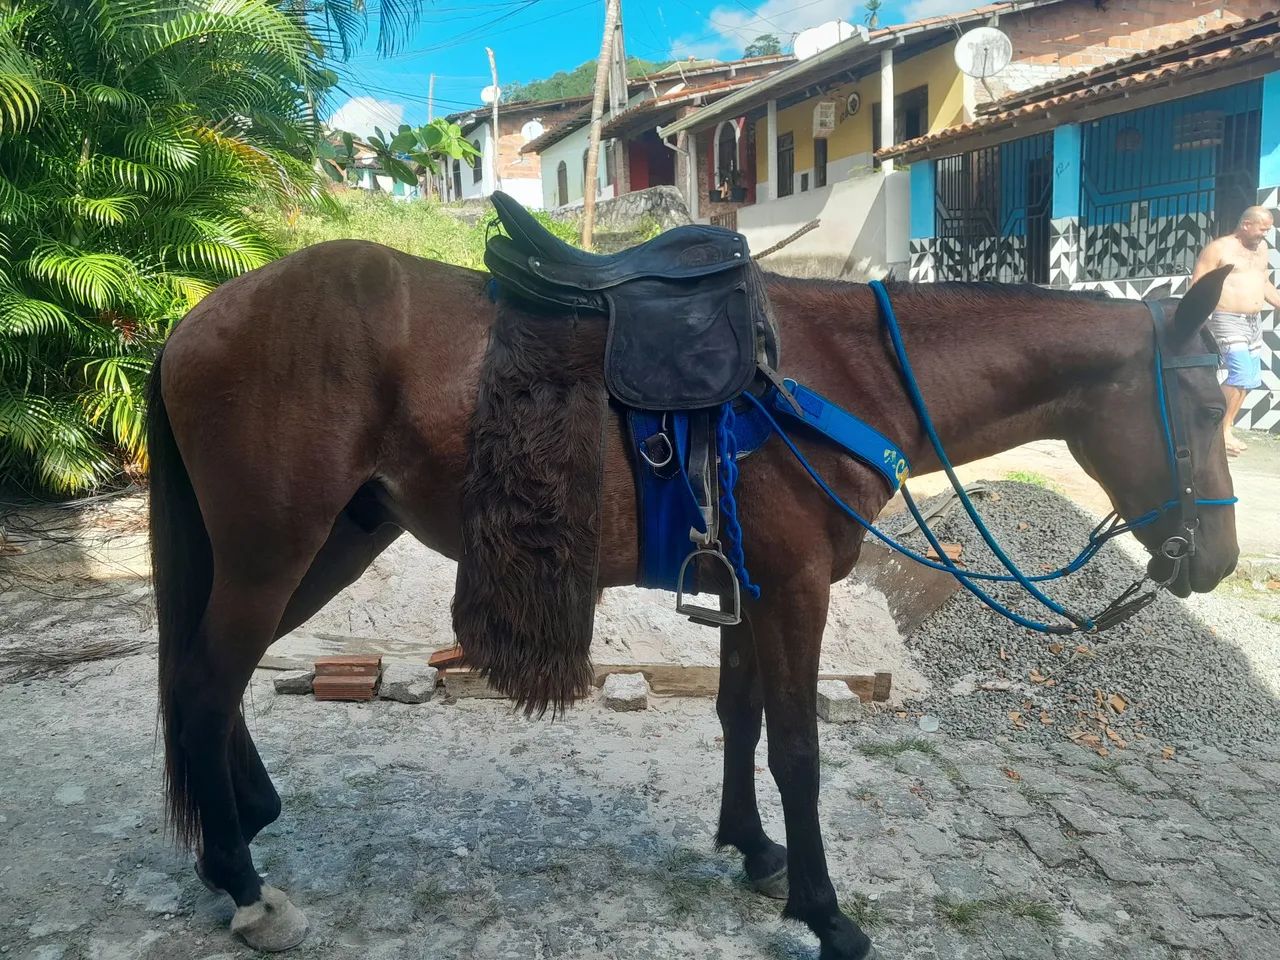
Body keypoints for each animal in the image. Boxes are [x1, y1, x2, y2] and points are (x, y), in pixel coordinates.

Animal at [145, 238, 1238, 957]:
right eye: (1202, 404)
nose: (1221, 561)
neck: (837, 372)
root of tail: (199, 317)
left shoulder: (750, 587)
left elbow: (739, 720)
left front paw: (751, 850)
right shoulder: (795, 591)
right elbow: (797, 750)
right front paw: (823, 910)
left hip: (331, 542)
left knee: (215, 679)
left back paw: (240, 829)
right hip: (274, 550)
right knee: (204, 684)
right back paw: (244, 885)